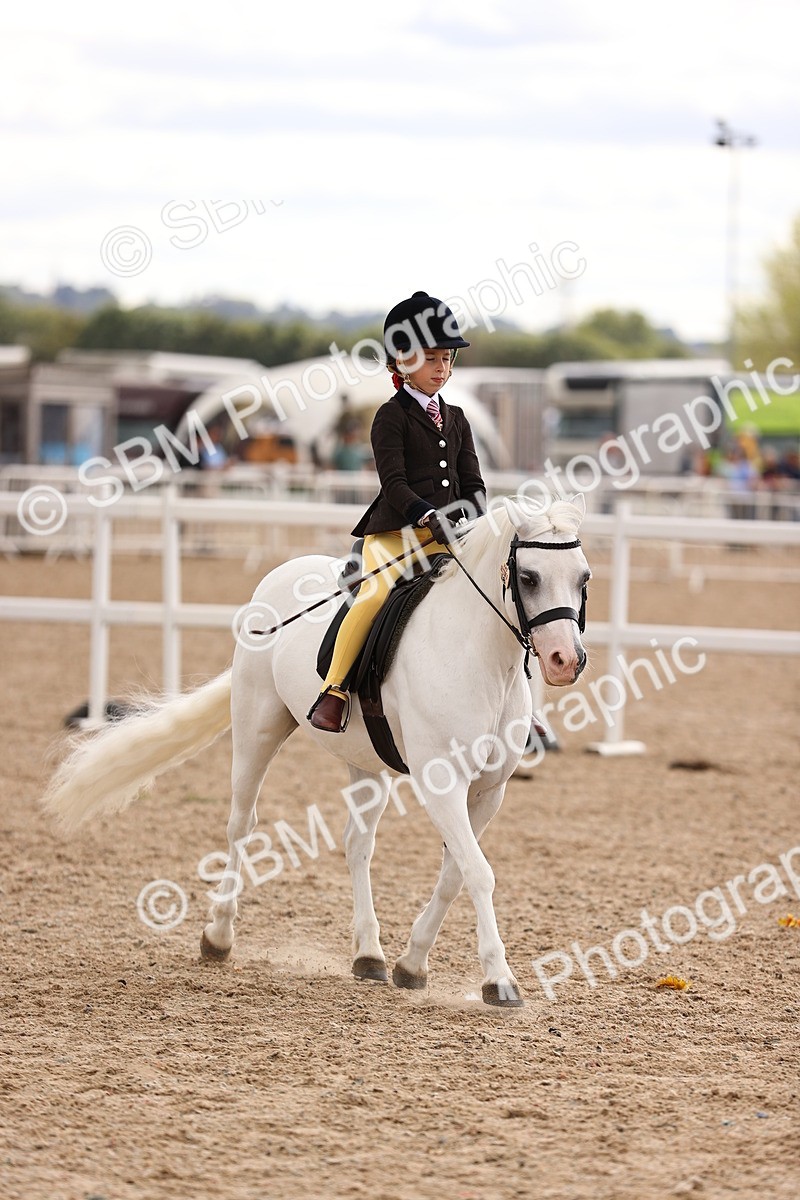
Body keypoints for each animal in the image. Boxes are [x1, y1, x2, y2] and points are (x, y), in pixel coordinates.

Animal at [43, 494, 591, 1008]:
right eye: (529, 576)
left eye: (583, 577)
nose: (565, 661)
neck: (479, 655)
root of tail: (279, 574)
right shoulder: (442, 783)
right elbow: (478, 872)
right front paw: (499, 980)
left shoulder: (488, 791)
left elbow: (455, 873)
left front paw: (412, 964)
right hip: (258, 726)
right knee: (241, 825)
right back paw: (218, 936)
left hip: (365, 763)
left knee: (357, 844)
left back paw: (368, 955)